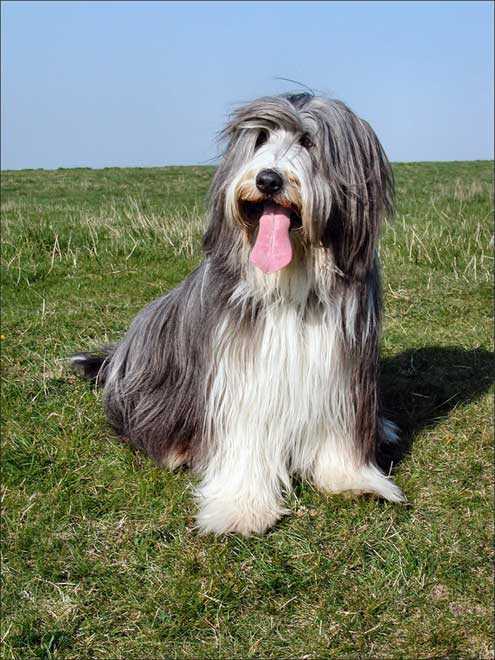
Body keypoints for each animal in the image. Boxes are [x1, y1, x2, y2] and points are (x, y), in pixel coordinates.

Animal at [73, 93, 406, 536]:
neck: (289, 284)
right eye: (260, 138)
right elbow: (244, 436)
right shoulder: (240, 377)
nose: (268, 180)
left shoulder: (342, 366)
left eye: (308, 141)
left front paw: (353, 479)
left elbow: (339, 430)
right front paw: (241, 507)